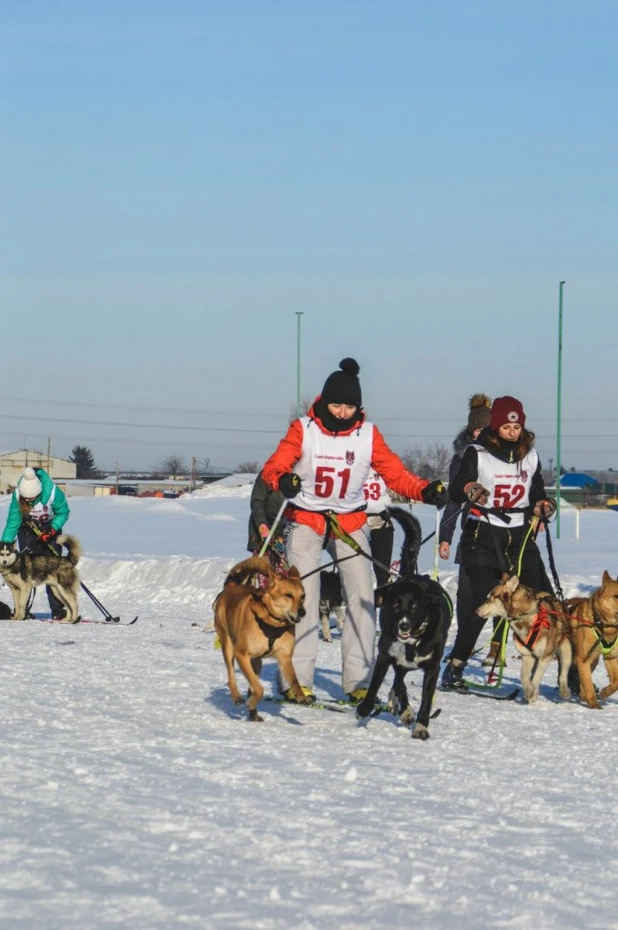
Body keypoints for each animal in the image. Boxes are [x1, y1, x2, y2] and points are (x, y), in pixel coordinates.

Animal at [214, 556, 308, 720]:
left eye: (303, 596)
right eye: (288, 595)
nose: (302, 612)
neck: (272, 622)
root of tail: (231, 586)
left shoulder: (284, 658)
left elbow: (294, 680)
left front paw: (300, 695)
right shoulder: (241, 654)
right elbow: (259, 689)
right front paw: (251, 701)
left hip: (256, 662)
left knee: (251, 683)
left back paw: (253, 712)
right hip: (228, 645)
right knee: (231, 676)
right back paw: (237, 697)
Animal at [354, 508, 450, 740]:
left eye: (415, 606)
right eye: (396, 604)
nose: (403, 626)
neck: (412, 643)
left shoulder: (432, 669)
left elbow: (425, 702)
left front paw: (421, 727)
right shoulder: (385, 657)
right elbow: (376, 686)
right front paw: (365, 708)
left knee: (400, 684)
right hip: (397, 663)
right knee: (399, 683)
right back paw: (402, 709)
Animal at [474, 572, 572, 704]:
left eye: (490, 599)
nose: (476, 610)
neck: (525, 617)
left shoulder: (545, 656)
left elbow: (536, 677)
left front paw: (532, 691)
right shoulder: (527, 655)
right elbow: (524, 676)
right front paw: (529, 690)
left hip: (566, 650)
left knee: (563, 673)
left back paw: (564, 690)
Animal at [564, 568, 616, 708]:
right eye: (616, 596)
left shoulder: (611, 657)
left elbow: (615, 682)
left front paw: (604, 692)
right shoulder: (582, 658)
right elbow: (587, 683)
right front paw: (594, 704)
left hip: (593, 660)